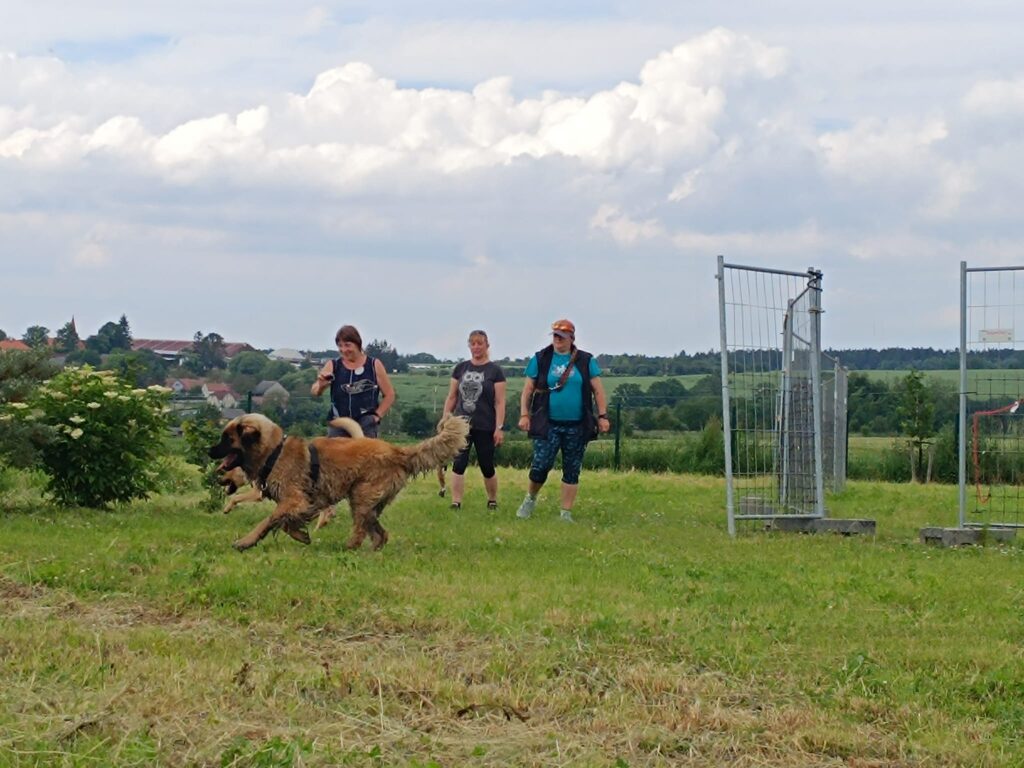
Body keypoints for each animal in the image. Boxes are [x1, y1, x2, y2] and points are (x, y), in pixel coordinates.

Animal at [208, 411, 471, 548]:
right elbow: (284, 522)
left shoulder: (295, 499)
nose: (210, 451)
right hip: (368, 503)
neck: (274, 452)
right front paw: (301, 535)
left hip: (361, 496)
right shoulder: (305, 502)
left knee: (361, 531)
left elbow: (269, 520)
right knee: (379, 533)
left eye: (227, 438)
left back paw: (348, 549)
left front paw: (246, 541)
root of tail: (399, 451)